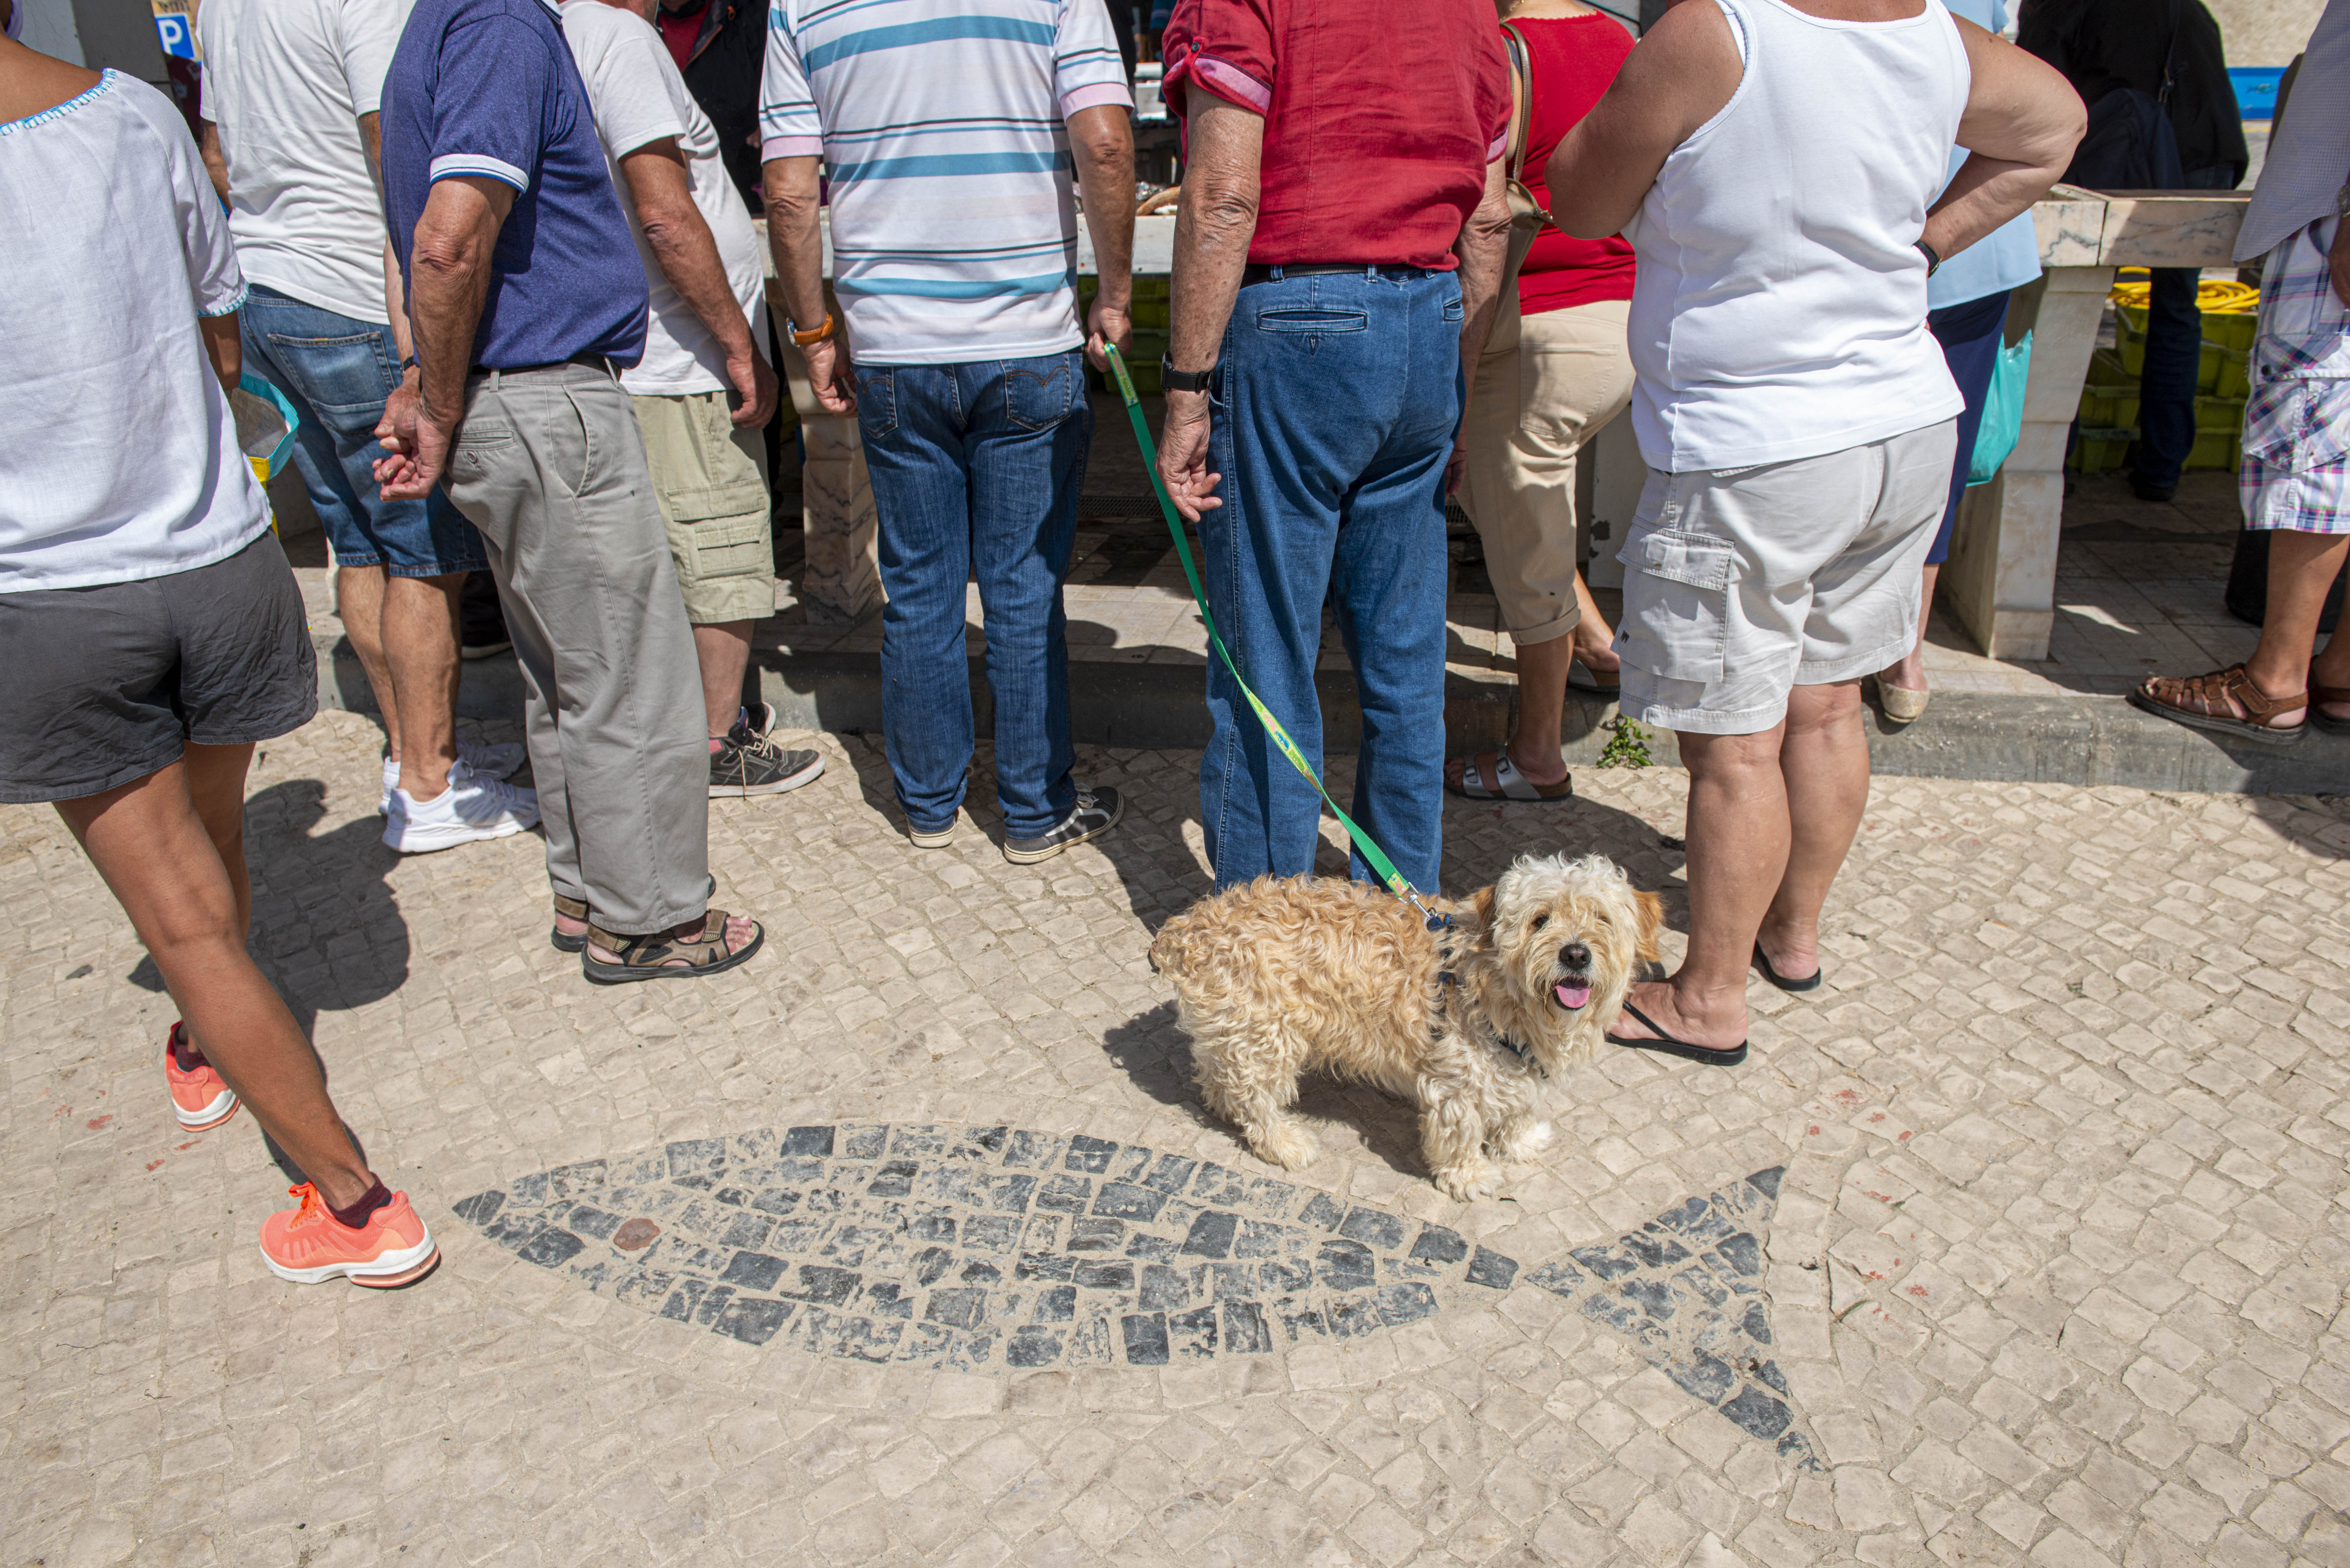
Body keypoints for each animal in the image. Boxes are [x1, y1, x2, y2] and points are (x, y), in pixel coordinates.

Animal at [1147, 860, 1664, 1203]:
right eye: (1541, 920)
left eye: (1601, 919)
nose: (1575, 954)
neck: (1491, 979)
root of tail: (1188, 927)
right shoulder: (1456, 1084)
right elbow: (1460, 1136)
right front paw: (1470, 1176)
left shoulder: (1519, 1066)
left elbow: (1520, 1106)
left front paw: (1519, 1142)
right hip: (1268, 1037)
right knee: (1255, 1099)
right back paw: (1284, 1143)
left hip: (1235, 1031)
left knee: (1218, 1073)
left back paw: (1220, 1103)